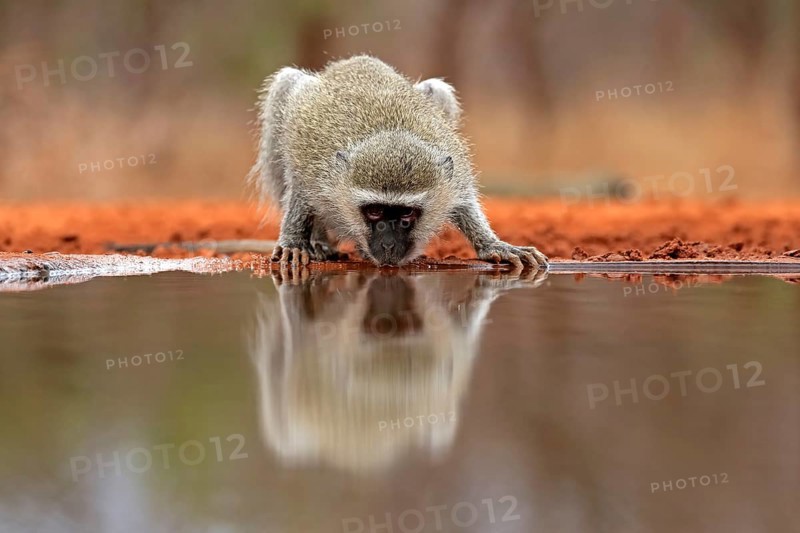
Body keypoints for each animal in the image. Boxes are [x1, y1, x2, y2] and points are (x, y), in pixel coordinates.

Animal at [248, 55, 548, 269]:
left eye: (406, 214)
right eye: (374, 212)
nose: (389, 246)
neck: (391, 132)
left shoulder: (452, 169)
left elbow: (462, 200)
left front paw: (492, 244)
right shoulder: (313, 165)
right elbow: (299, 190)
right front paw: (295, 241)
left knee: (437, 91)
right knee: (286, 87)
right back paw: (319, 241)